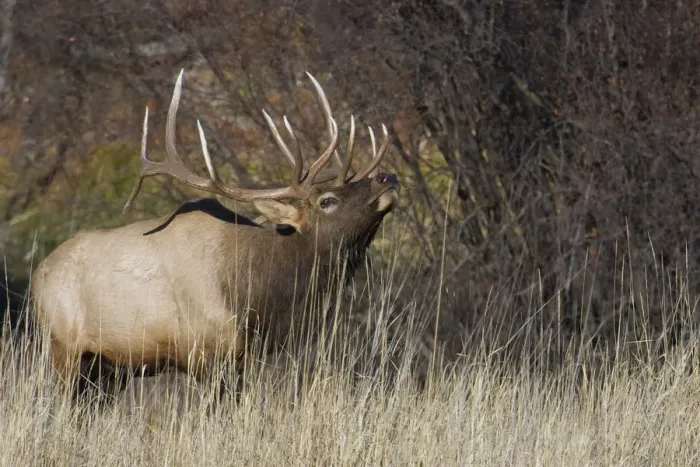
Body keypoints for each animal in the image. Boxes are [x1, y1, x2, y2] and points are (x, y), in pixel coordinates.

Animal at [29, 70, 400, 399]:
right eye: (328, 200)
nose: (388, 177)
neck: (260, 297)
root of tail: (40, 271)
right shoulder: (203, 352)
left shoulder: (245, 359)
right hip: (63, 345)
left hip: (109, 367)